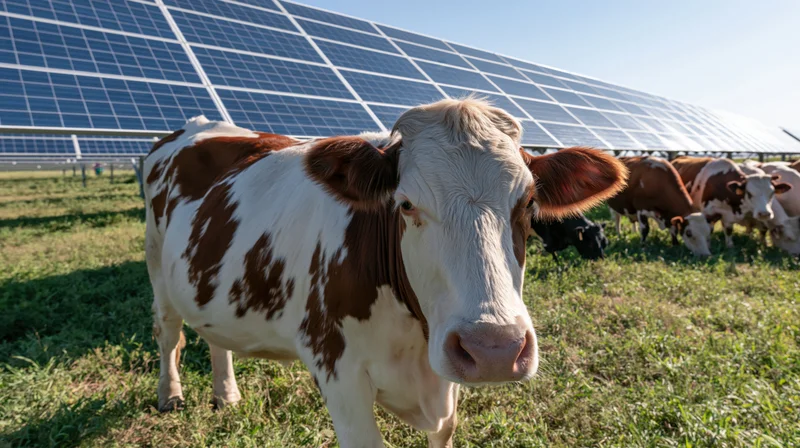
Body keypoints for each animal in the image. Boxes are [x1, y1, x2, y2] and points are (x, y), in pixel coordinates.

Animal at [143, 98, 628, 448]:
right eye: (406, 203)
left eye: (529, 202)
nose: (494, 349)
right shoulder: (338, 374)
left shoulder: (444, 379)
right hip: (156, 260)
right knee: (169, 331)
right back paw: (170, 395)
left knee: (213, 336)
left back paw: (226, 394)